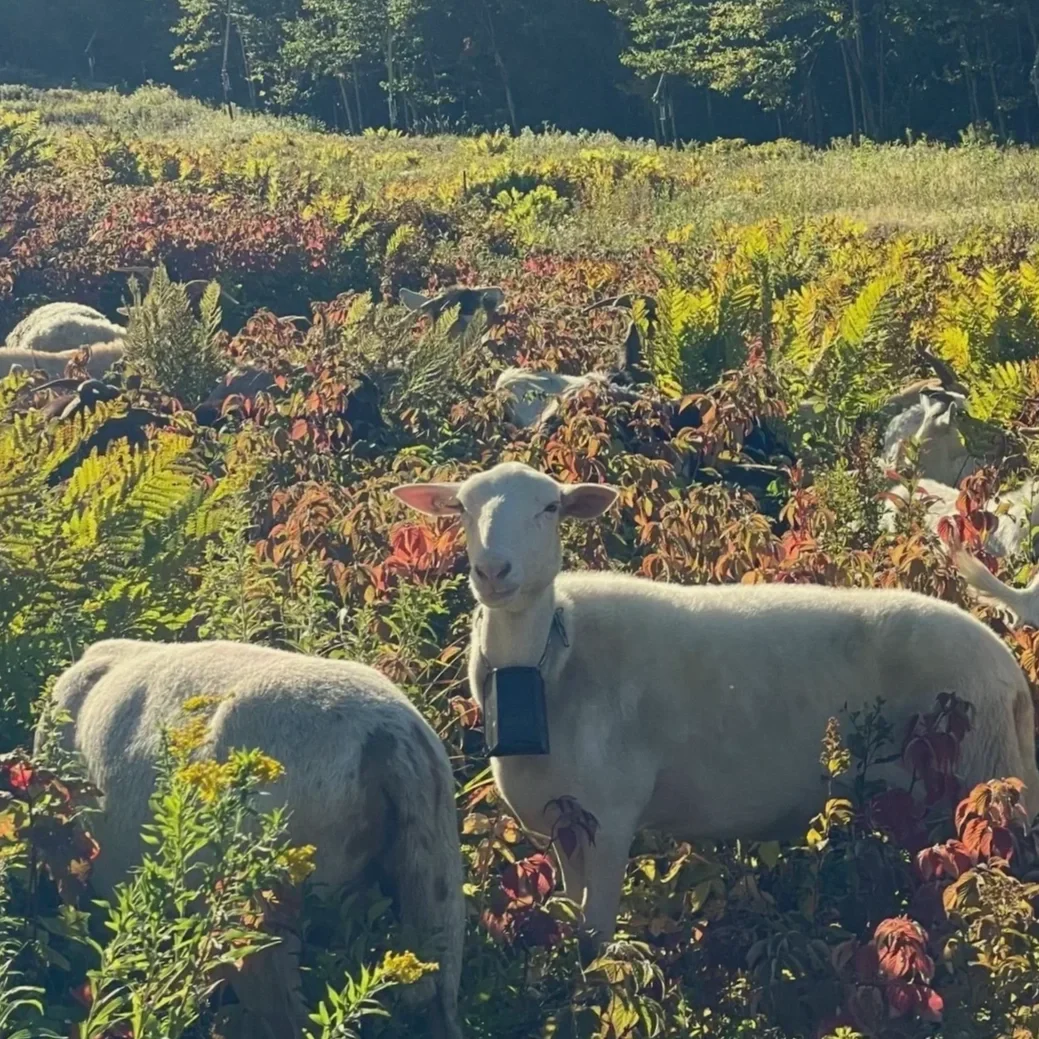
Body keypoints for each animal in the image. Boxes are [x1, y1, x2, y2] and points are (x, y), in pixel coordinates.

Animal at [392, 460, 1039, 952]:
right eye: (462, 508)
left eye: (550, 508)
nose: (492, 571)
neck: (549, 661)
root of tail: (1005, 665)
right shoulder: (562, 823)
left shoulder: (609, 818)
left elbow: (594, 940)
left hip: (982, 785)